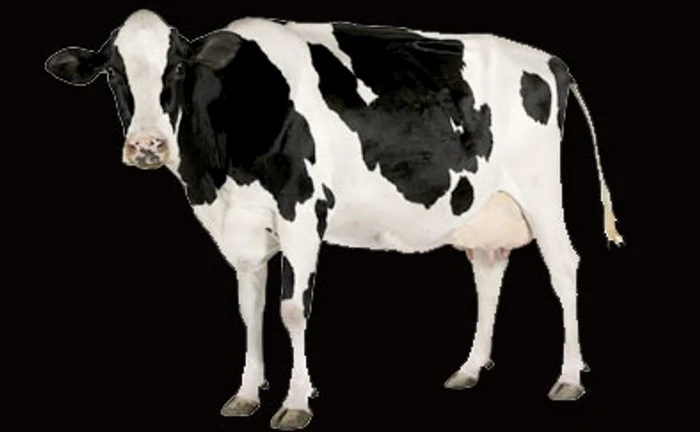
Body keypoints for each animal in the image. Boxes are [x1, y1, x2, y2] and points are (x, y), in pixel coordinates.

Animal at [45, 9, 624, 430]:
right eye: (112, 72)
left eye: (179, 68)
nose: (146, 145)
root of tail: (549, 59)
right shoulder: (242, 228)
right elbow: (249, 311)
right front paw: (245, 393)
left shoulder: (302, 212)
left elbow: (292, 310)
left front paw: (297, 402)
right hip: (486, 207)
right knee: (488, 271)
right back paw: (468, 369)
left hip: (540, 191)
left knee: (564, 269)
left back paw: (569, 377)